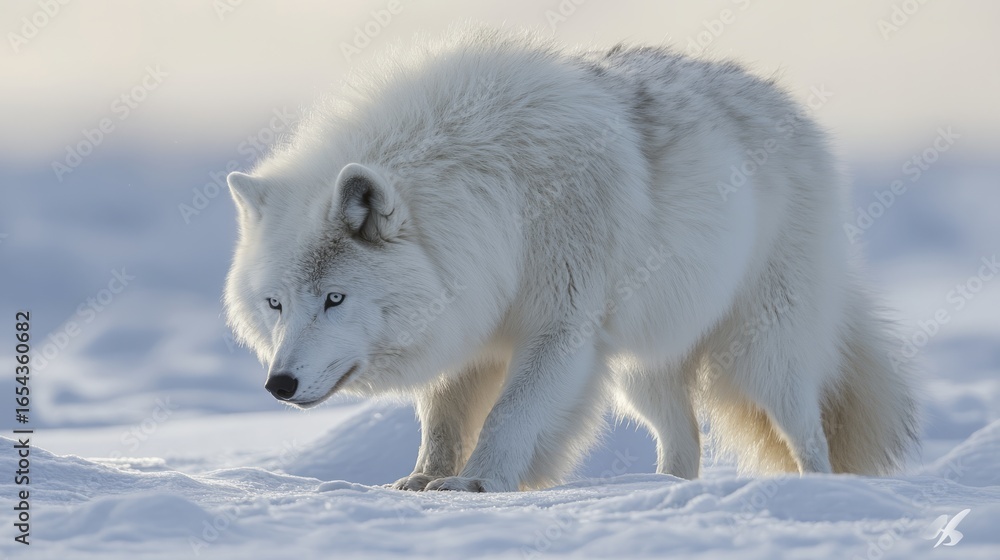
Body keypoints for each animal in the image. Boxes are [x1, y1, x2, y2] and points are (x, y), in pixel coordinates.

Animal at [223, 28, 919, 492]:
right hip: (640, 371)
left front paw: (478, 485)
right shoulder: (472, 326)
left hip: (762, 354)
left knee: (807, 431)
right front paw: (423, 482)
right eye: (276, 304)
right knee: (686, 439)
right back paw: (665, 495)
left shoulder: (560, 329)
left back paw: (815, 495)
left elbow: (508, 417)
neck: (495, 202)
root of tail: (785, 102)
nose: (278, 385)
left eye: (335, 298)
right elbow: (443, 424)